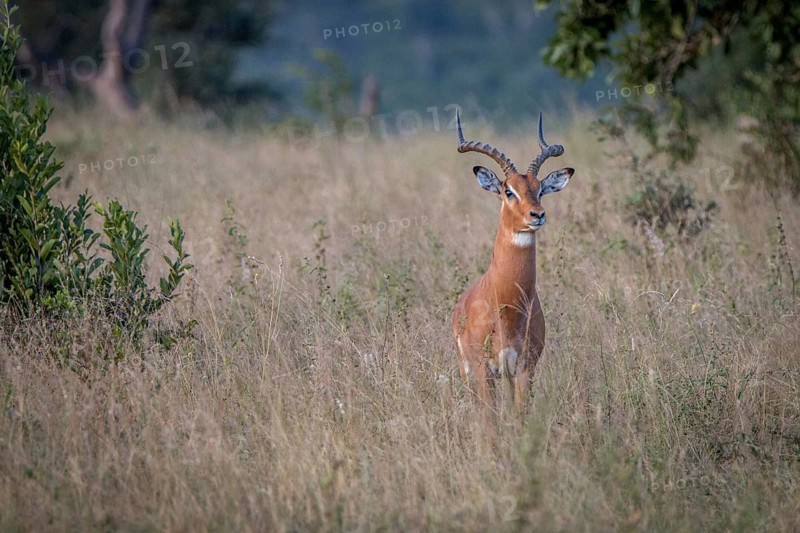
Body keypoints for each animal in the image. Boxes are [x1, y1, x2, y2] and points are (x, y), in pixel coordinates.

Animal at [452, 111, 574, 411]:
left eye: (540, 189)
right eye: (509, 191)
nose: (537, 214)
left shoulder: (524, 368)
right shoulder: (484, 369)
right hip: (467, 371)